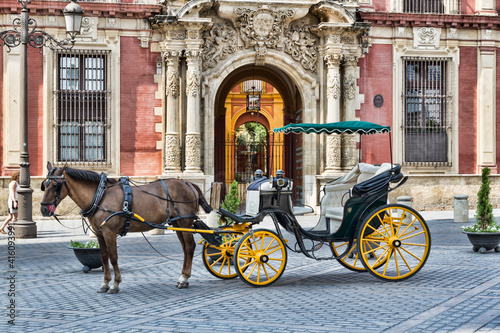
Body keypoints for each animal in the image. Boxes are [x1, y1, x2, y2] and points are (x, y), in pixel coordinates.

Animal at [39, 161, 211, 294]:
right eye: (44, 185)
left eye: (56, 185)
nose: (43, 209)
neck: (100, 195)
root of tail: (188, 183)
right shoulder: (99, 233)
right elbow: (104, 257)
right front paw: (105, 283)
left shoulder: (109, 232)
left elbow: (113, 257)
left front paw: (115, 284)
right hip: (178, 224)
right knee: (185, 249)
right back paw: (182, 277)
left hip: (185, 222)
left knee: (189, 247)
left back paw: (184, 278)